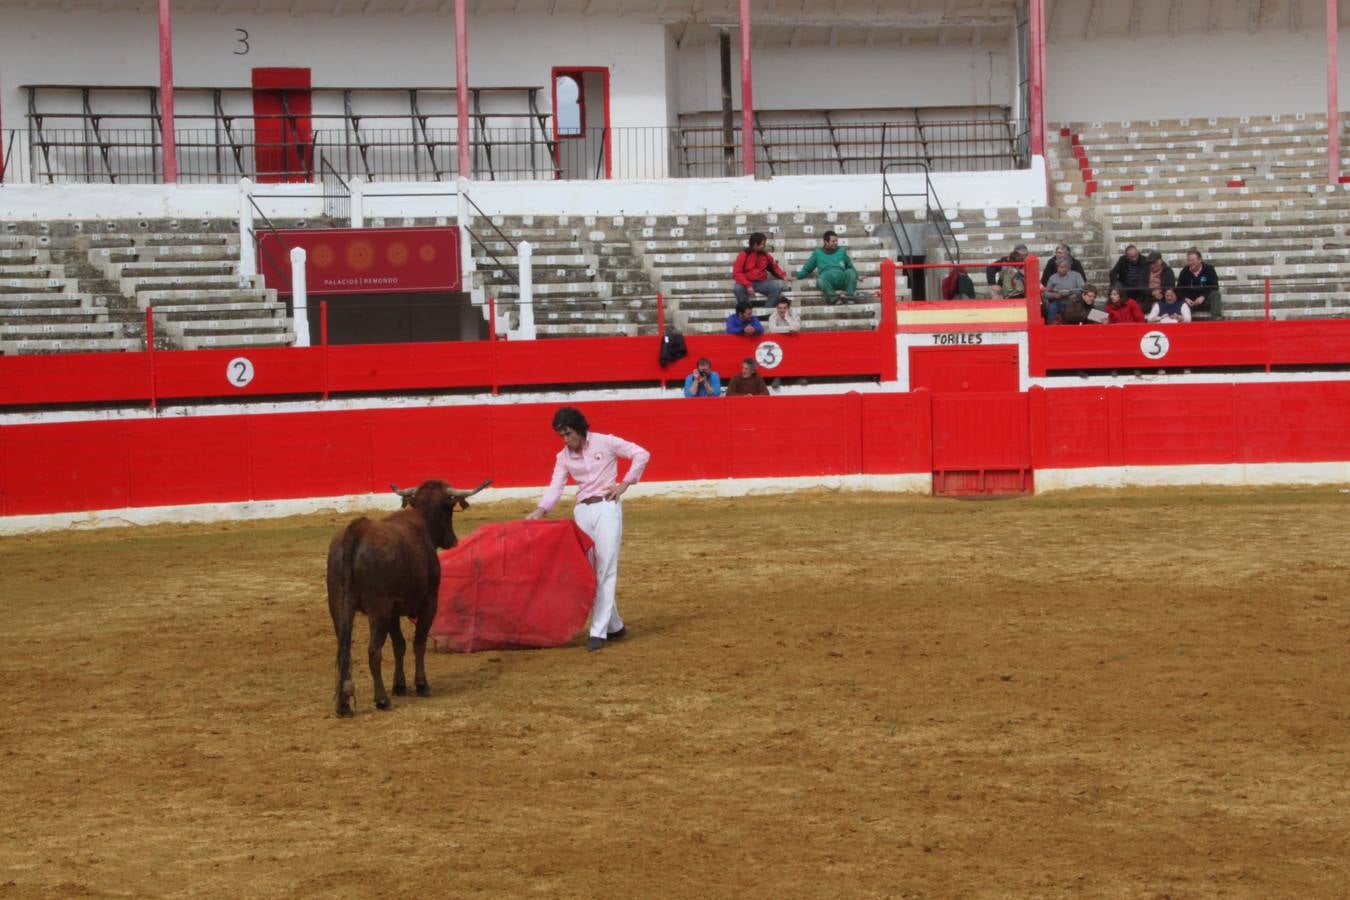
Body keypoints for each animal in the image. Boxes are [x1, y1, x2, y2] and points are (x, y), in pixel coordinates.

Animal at [328, 477, 491, 717]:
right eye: (450, 508)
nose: (453, 541)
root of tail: (355, 532)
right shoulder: (428, 604)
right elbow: (418, 642)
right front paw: (421, 685)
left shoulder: (393, 612)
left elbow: (399, 645)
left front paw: (400, 686)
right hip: (378, 611)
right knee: (373, 651)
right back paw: (382, 699)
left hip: (339, 608)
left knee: (343, 649)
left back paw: (343, 705)